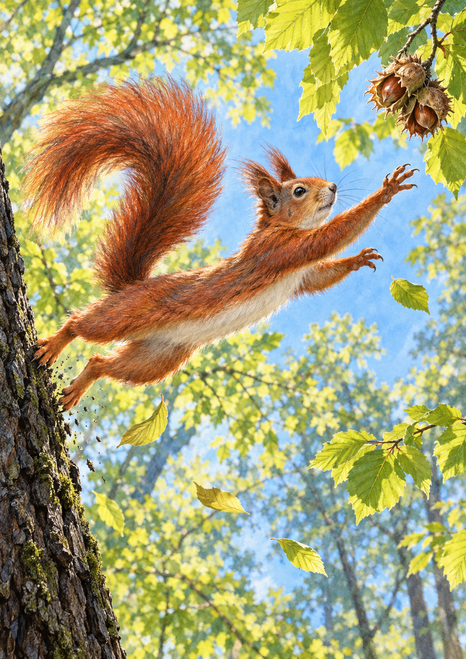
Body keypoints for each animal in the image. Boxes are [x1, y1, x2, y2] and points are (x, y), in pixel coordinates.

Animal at [23, 77, 417, 409]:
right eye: (299, 191)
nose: (333, 187)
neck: (280, 227)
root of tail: (131, 286)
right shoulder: (280, 251)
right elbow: (330, 236)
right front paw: (385, 192)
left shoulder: (299, 274)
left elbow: (320, 276)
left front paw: (360, 258)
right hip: (125, 315)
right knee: (82, 324)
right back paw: (52, 345)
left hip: (157, 358)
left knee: (101, 362)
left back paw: (79, 386)